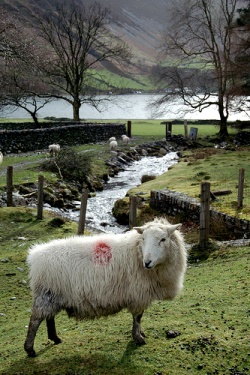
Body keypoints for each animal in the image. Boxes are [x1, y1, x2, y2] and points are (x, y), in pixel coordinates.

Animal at [24, 217, 187, 358]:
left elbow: (139, 319)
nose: (147, 262)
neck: (137, 253)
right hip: (47, 293)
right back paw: (30, 349)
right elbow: (137, 318)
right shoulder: (138, 295)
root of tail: (35, 256)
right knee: (35, 320)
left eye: (163, 239)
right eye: (143, 239)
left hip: (53, 295)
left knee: (49, 317)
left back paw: (55, 338)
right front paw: (138, 338)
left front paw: (140, 333)